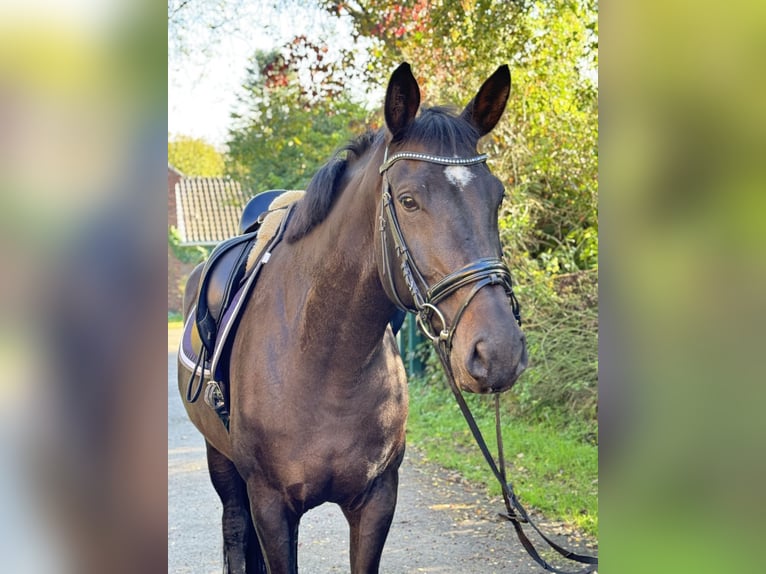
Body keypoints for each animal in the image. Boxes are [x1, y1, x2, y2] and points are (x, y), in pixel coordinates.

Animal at [178, 63, 528, 574]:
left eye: (497, 197)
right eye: (407, 200)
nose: (499, 351)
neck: (324, 362)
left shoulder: (377, 500)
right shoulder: (271, 506)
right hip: (221, 465)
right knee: (235, 531)